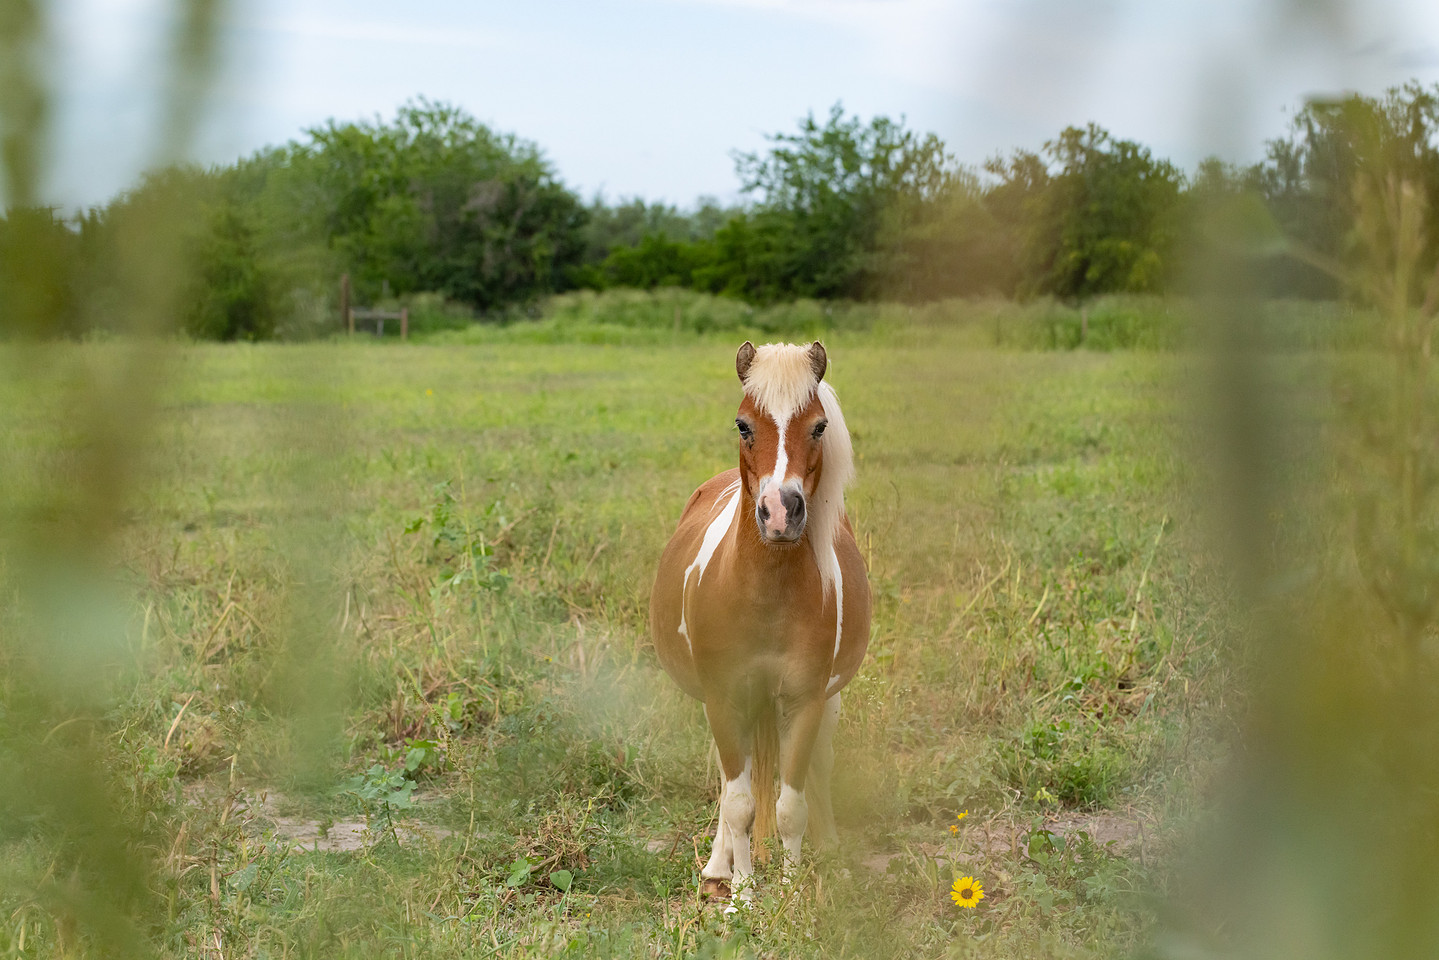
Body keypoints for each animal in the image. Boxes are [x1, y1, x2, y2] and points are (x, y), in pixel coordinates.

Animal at [650, 340, 871, 902]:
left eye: (818, 426)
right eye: (743, 424)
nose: (779, 511)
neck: (766, 596)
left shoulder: (805, 700)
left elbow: (791, 807)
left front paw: (791, 894)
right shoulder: (725, 700)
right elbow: (740, 805)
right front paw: (743, 897)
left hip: (826, 700)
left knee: (817, 770)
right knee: (731, 784)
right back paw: (717, 869)